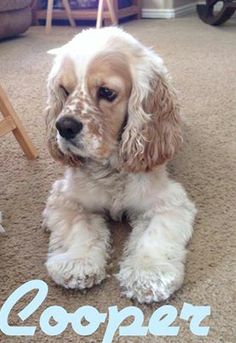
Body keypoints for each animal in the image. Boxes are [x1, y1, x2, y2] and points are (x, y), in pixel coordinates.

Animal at [43, 28, 196, 306]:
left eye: (106, 92)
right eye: (64, 90)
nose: (64, 126)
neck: (111, 168)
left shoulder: (169, 203)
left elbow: (154, 236)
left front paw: (148, 274)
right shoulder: (65, 199)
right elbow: (79, 229)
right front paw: (77, 262)